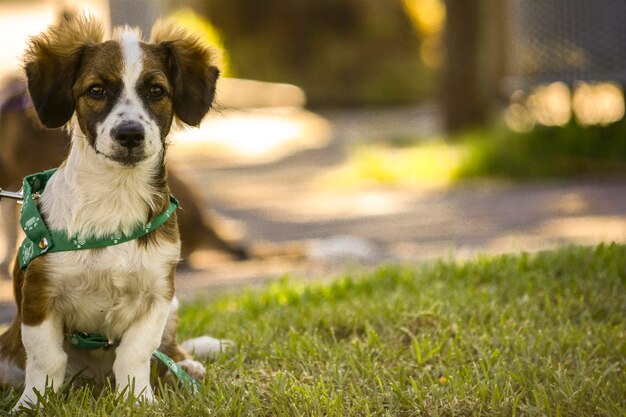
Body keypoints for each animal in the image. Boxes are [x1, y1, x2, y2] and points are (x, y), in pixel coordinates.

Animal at [0, 17, 224, 410]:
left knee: (169, 352)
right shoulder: (39, 296)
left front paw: (138, 400)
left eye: (156, 91)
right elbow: (46, 359)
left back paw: (187, 366)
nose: (129, 134)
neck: (115, 198)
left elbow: (135, 354)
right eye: (96, 90)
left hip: (174, 306)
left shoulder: (158, 295)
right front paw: (33, 404)